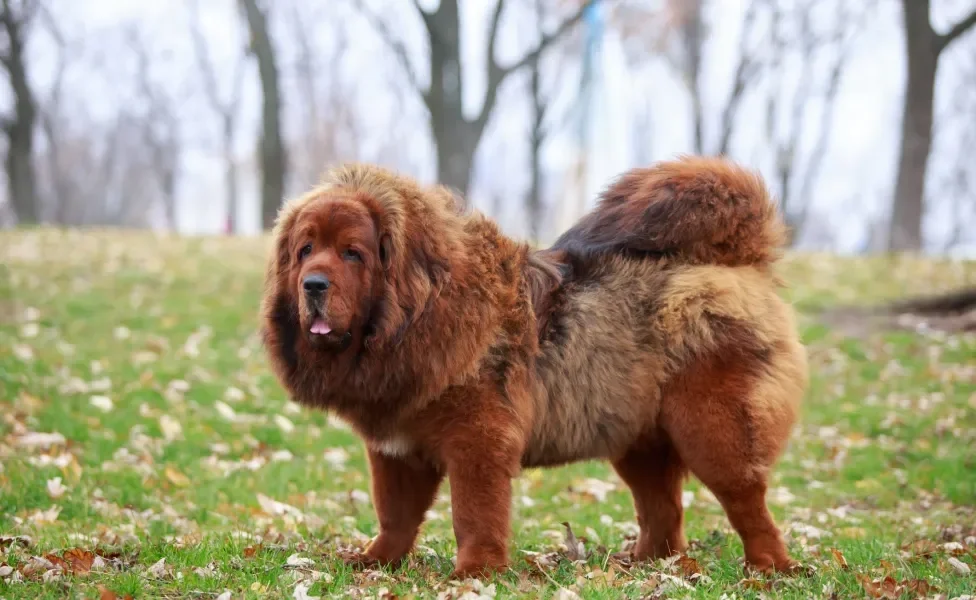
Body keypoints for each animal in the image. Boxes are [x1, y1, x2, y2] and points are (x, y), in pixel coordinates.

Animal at [260, 155, 808, 576]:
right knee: (664, 512)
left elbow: (474, 513)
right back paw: (645, 565)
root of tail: (739, 262)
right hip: (638, 439)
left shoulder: (477, 440)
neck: (418, 315)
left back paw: (769, 569)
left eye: (352, 254)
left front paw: (475, 572)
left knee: (747, 503)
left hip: (713, 430)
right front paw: (374, 562)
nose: (313, 284)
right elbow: (395, 515)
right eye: (305, 250)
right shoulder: (396, 448)